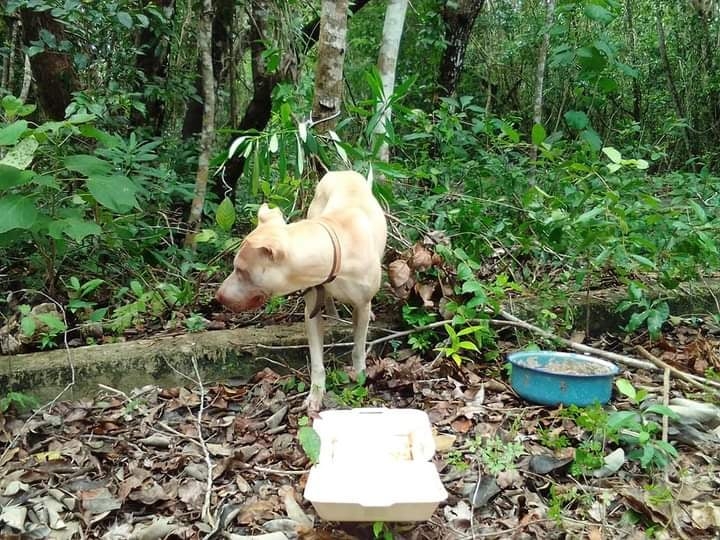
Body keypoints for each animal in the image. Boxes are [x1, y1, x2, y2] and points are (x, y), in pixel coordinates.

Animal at [215, 171, 388, 412]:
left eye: (241, 270)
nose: (218, 296)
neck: (335, 247)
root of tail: (340, 172)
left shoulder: (360, 306)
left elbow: (358, 348)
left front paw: (361, 376)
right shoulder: (311, 312)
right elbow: (316, 361)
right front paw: (315, 395)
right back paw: (332, 315)